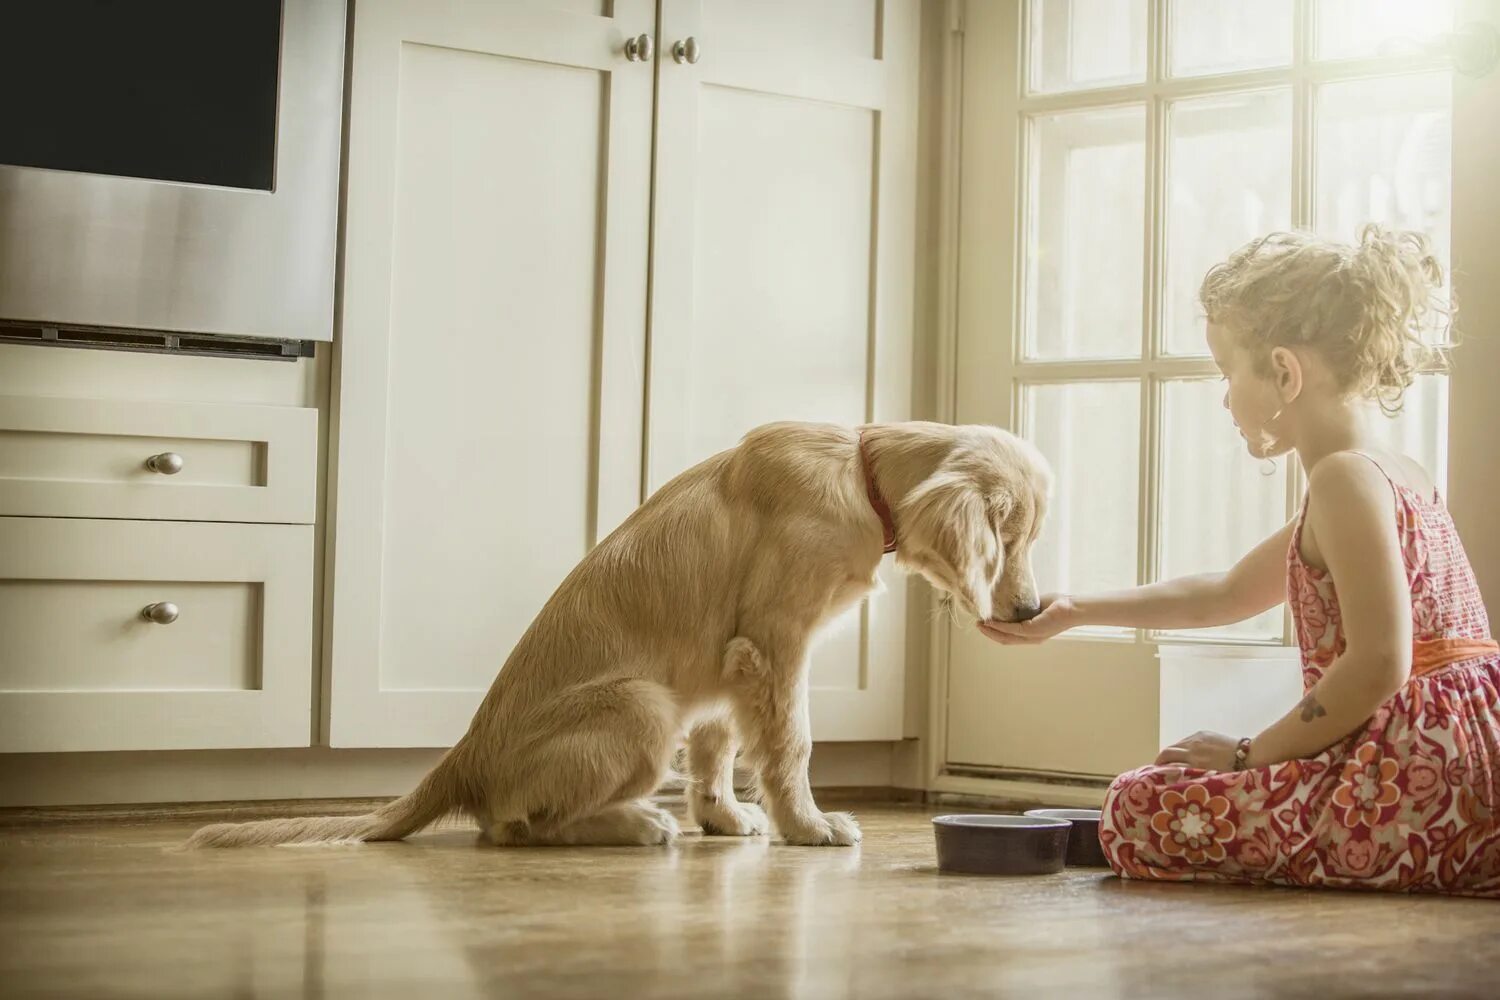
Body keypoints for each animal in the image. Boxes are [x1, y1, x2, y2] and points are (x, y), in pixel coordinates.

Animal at [187, 419, 1050, 851]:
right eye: (1009, 538)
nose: (1031, 610)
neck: (860, 470)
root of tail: (463, 758)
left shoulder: (726, 663)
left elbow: (718, 750)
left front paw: (725, 820)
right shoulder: (774, 646)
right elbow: (789, 747)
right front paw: (808, 826)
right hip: (642, 705)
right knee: (512, 826)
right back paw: (638, 824)